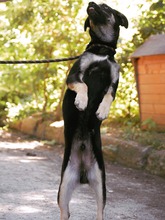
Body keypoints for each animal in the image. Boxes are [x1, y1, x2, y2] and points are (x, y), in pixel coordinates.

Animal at [57, 2, 128, 220]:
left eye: (105, 7)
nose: (90, 3)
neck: (102, 51)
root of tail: (82, 174)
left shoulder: (113, 83)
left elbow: (108, 97)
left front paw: (102, 111)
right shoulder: (74, 75)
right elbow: (84, 86)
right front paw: (82, 101)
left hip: (100, 184)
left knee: (100, 211)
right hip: (63, 189)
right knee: (65, 211)